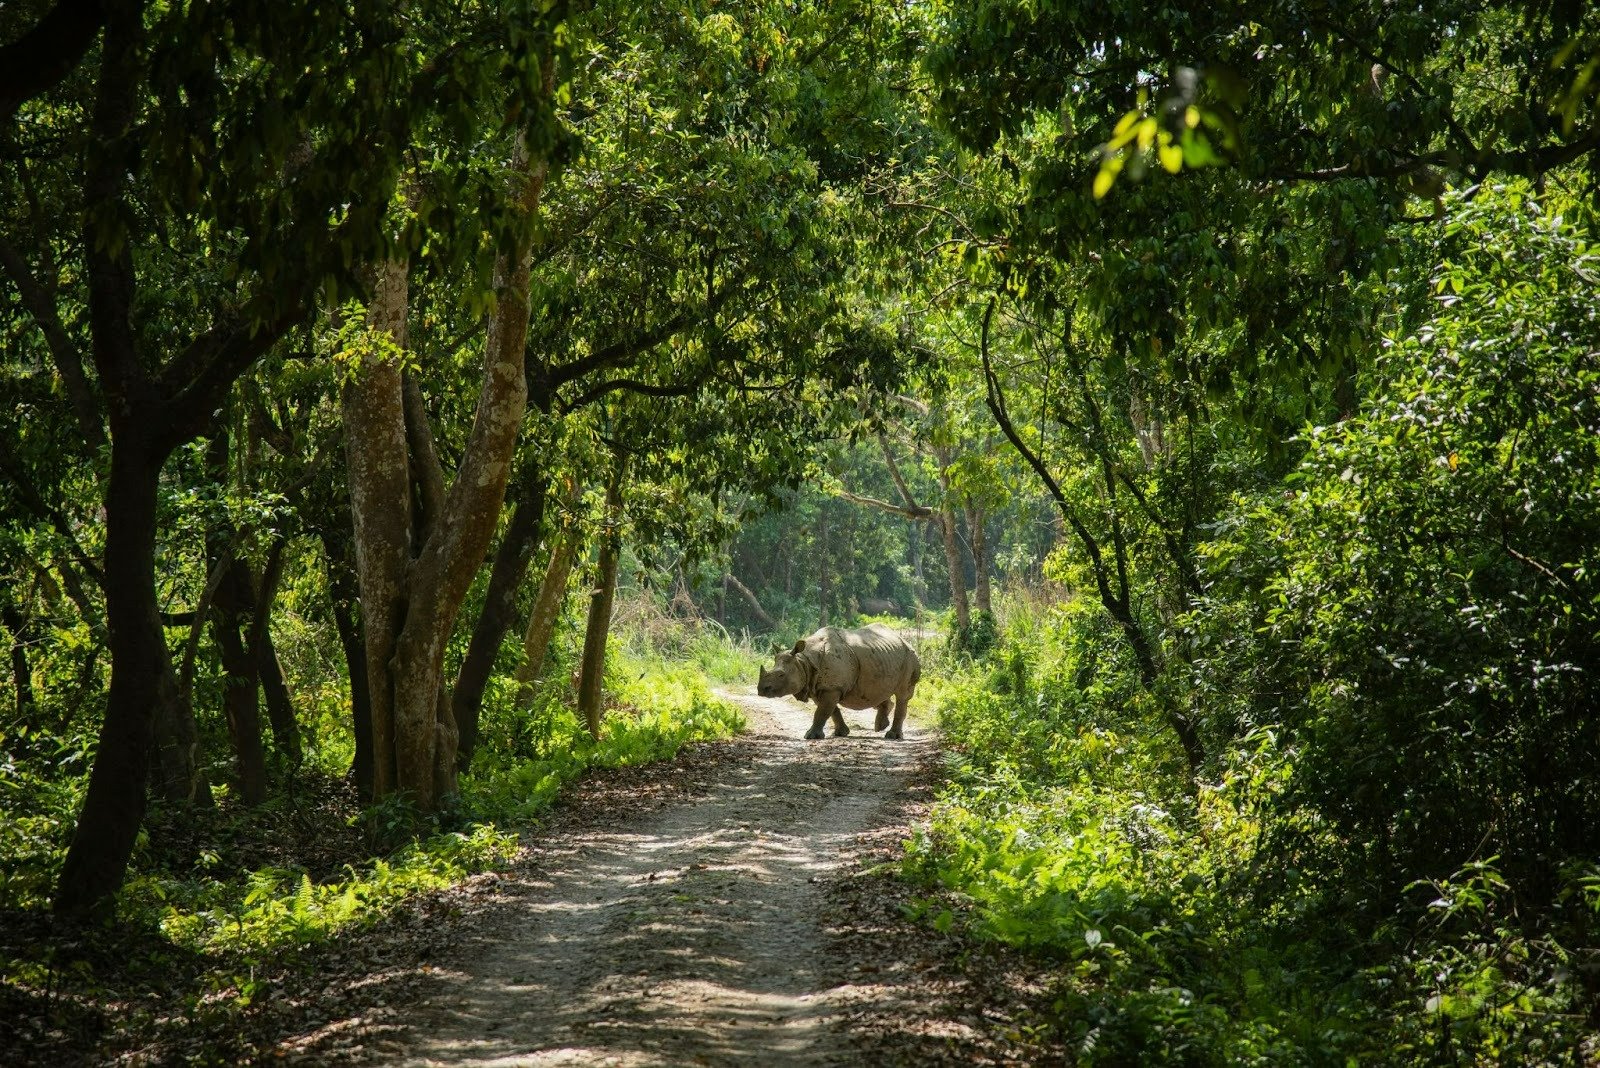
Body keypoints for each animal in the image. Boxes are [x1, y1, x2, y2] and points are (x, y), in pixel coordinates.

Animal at [757, 623, 921, 740]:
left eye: (781, 675)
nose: (761, 690)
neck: (804, 662)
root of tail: (904, 640)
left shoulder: (832, 687)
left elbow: (822, 711)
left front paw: (810, 736)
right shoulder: (819, 686)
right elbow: (830, 710)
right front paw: (841, 733)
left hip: (910, 656)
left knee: (902, 695)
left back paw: (892, 736)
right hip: (882, 657)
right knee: (876, 691)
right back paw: (880, 726)